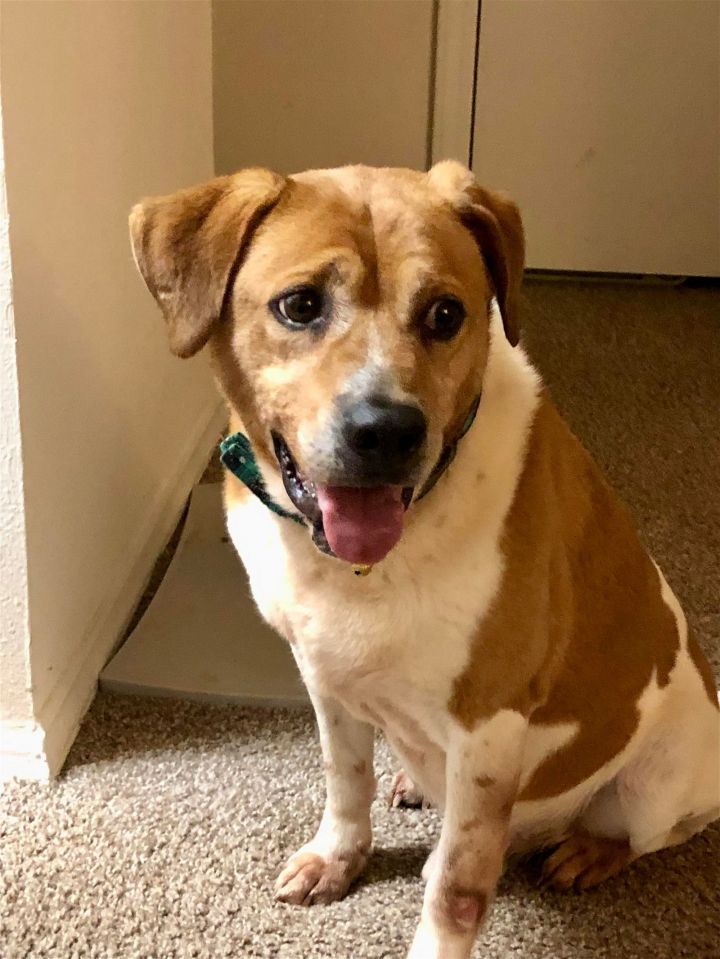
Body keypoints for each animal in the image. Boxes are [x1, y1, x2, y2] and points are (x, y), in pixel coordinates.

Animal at [131, 165, 720, 959]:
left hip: (658, 780)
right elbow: (344, 777)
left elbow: (456, 886)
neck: (363, 567)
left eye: (445, 313)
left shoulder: (489, 726)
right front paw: (338, 857)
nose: (385, 431)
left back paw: (585, 851)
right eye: (301, 305)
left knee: (642, 831)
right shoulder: (322, 674)